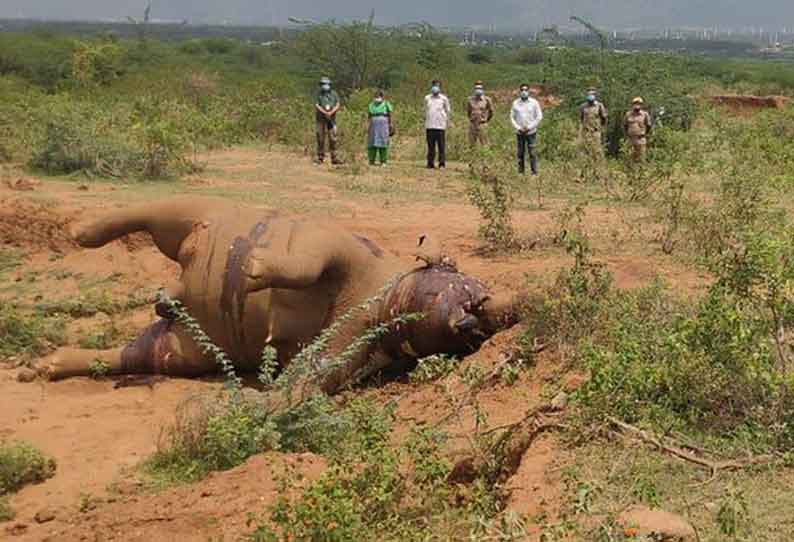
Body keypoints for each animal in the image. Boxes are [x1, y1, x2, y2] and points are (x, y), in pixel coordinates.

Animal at [38, 198, 520, 394]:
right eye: (471, 293)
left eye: (477, 330)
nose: (472, 320)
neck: (383, 299)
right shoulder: (337, 247)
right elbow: (306, 264)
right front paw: (253, 270)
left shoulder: (348, 351)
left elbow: (307, 381)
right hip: (193, 214)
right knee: (142, 212)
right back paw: (82, 231)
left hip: (183, 350)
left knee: (136, 354)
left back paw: (51, 363)